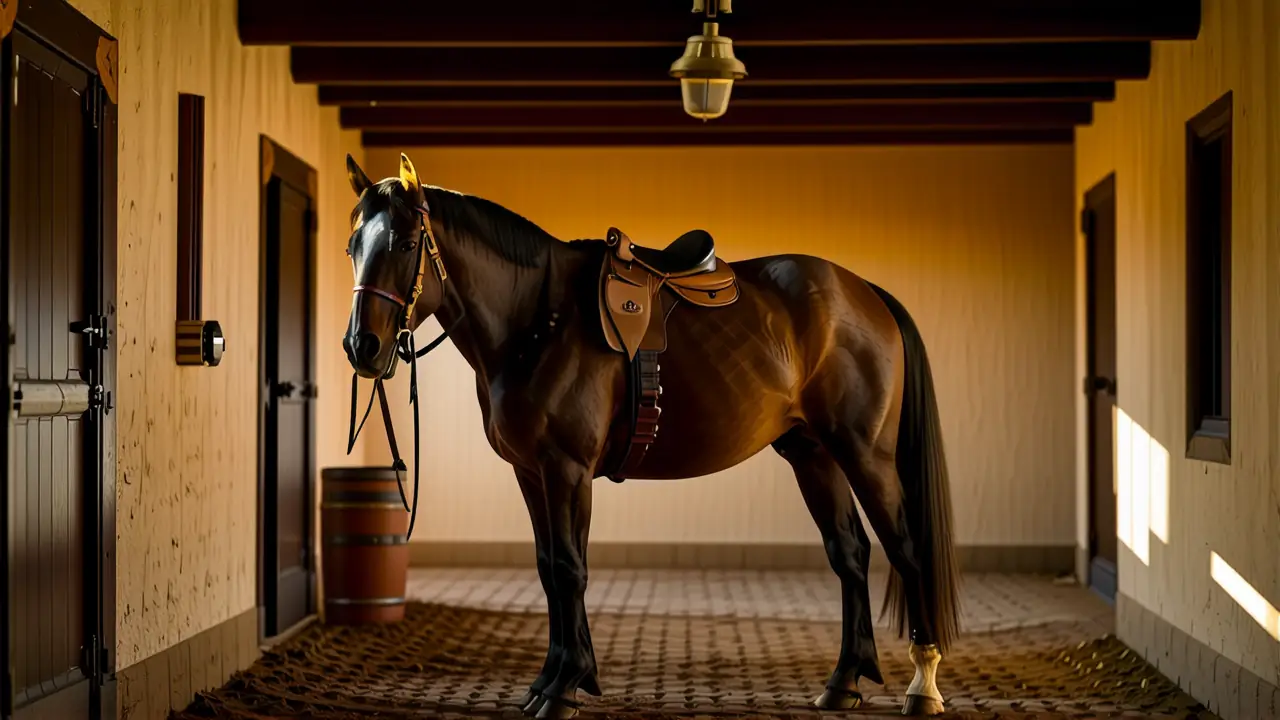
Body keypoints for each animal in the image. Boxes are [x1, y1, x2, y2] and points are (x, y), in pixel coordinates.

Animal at [340, 152, 961, 719]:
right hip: (814, 455)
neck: (539, 318)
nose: (360, 347)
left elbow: (569, 569)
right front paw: (551, 679)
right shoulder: (531, 472)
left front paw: (565, 686)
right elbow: (547, 568)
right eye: (352, 247)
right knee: (849, 553)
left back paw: (923, 685)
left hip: (865, 453)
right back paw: (844, 681)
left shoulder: (566, 469)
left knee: (906, 549)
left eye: (403, 243)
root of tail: (865, 292)